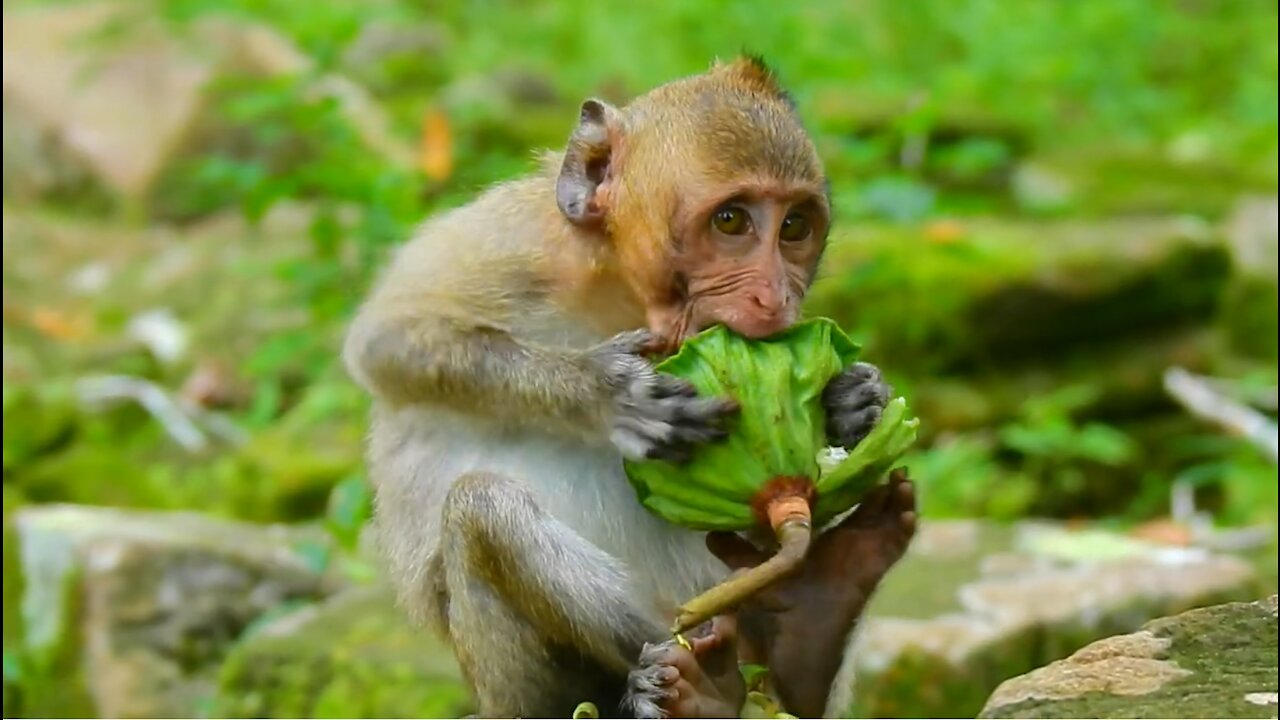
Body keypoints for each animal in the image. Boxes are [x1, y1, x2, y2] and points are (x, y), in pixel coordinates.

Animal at [345, 57, 916, 717]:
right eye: (731, 221)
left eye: (795, 227)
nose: (776, 298)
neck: (619, 293)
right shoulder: (509, 242)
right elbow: (387, 341)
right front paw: (608, 392)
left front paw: (854, 402)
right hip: (512, 692)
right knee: (482, 508)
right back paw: (702, 680)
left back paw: (816, 617)